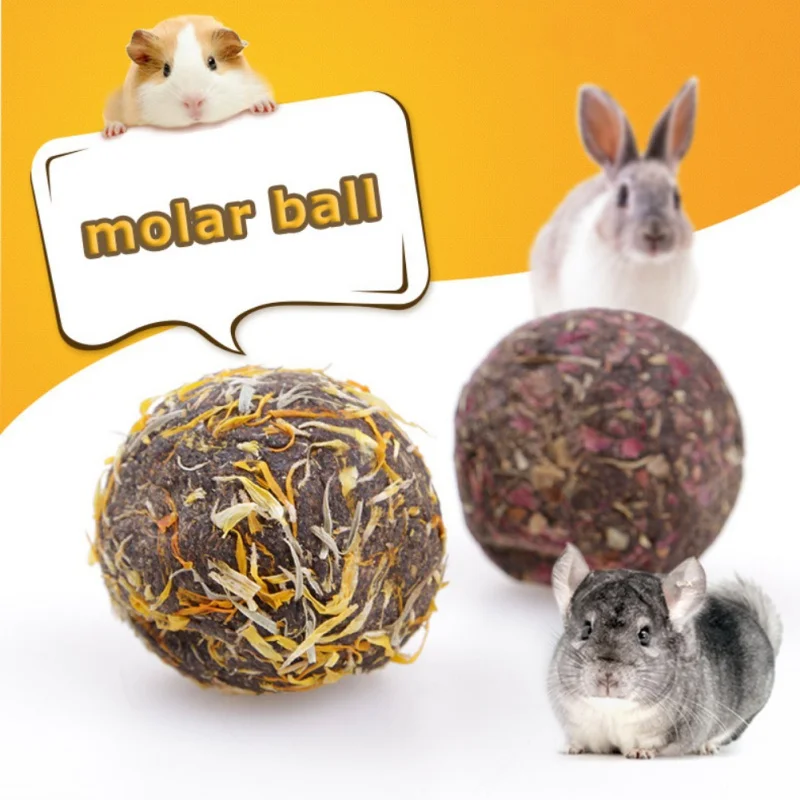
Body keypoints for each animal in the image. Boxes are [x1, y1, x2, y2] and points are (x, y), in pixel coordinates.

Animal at [548, 543, 782, 758]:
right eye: (586, 629)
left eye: (644, 635)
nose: (607, 677)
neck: (611, 709)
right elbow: (582, 741)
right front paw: (571, 748)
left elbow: (654, 745)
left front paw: (640, 752)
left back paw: (706, 747)